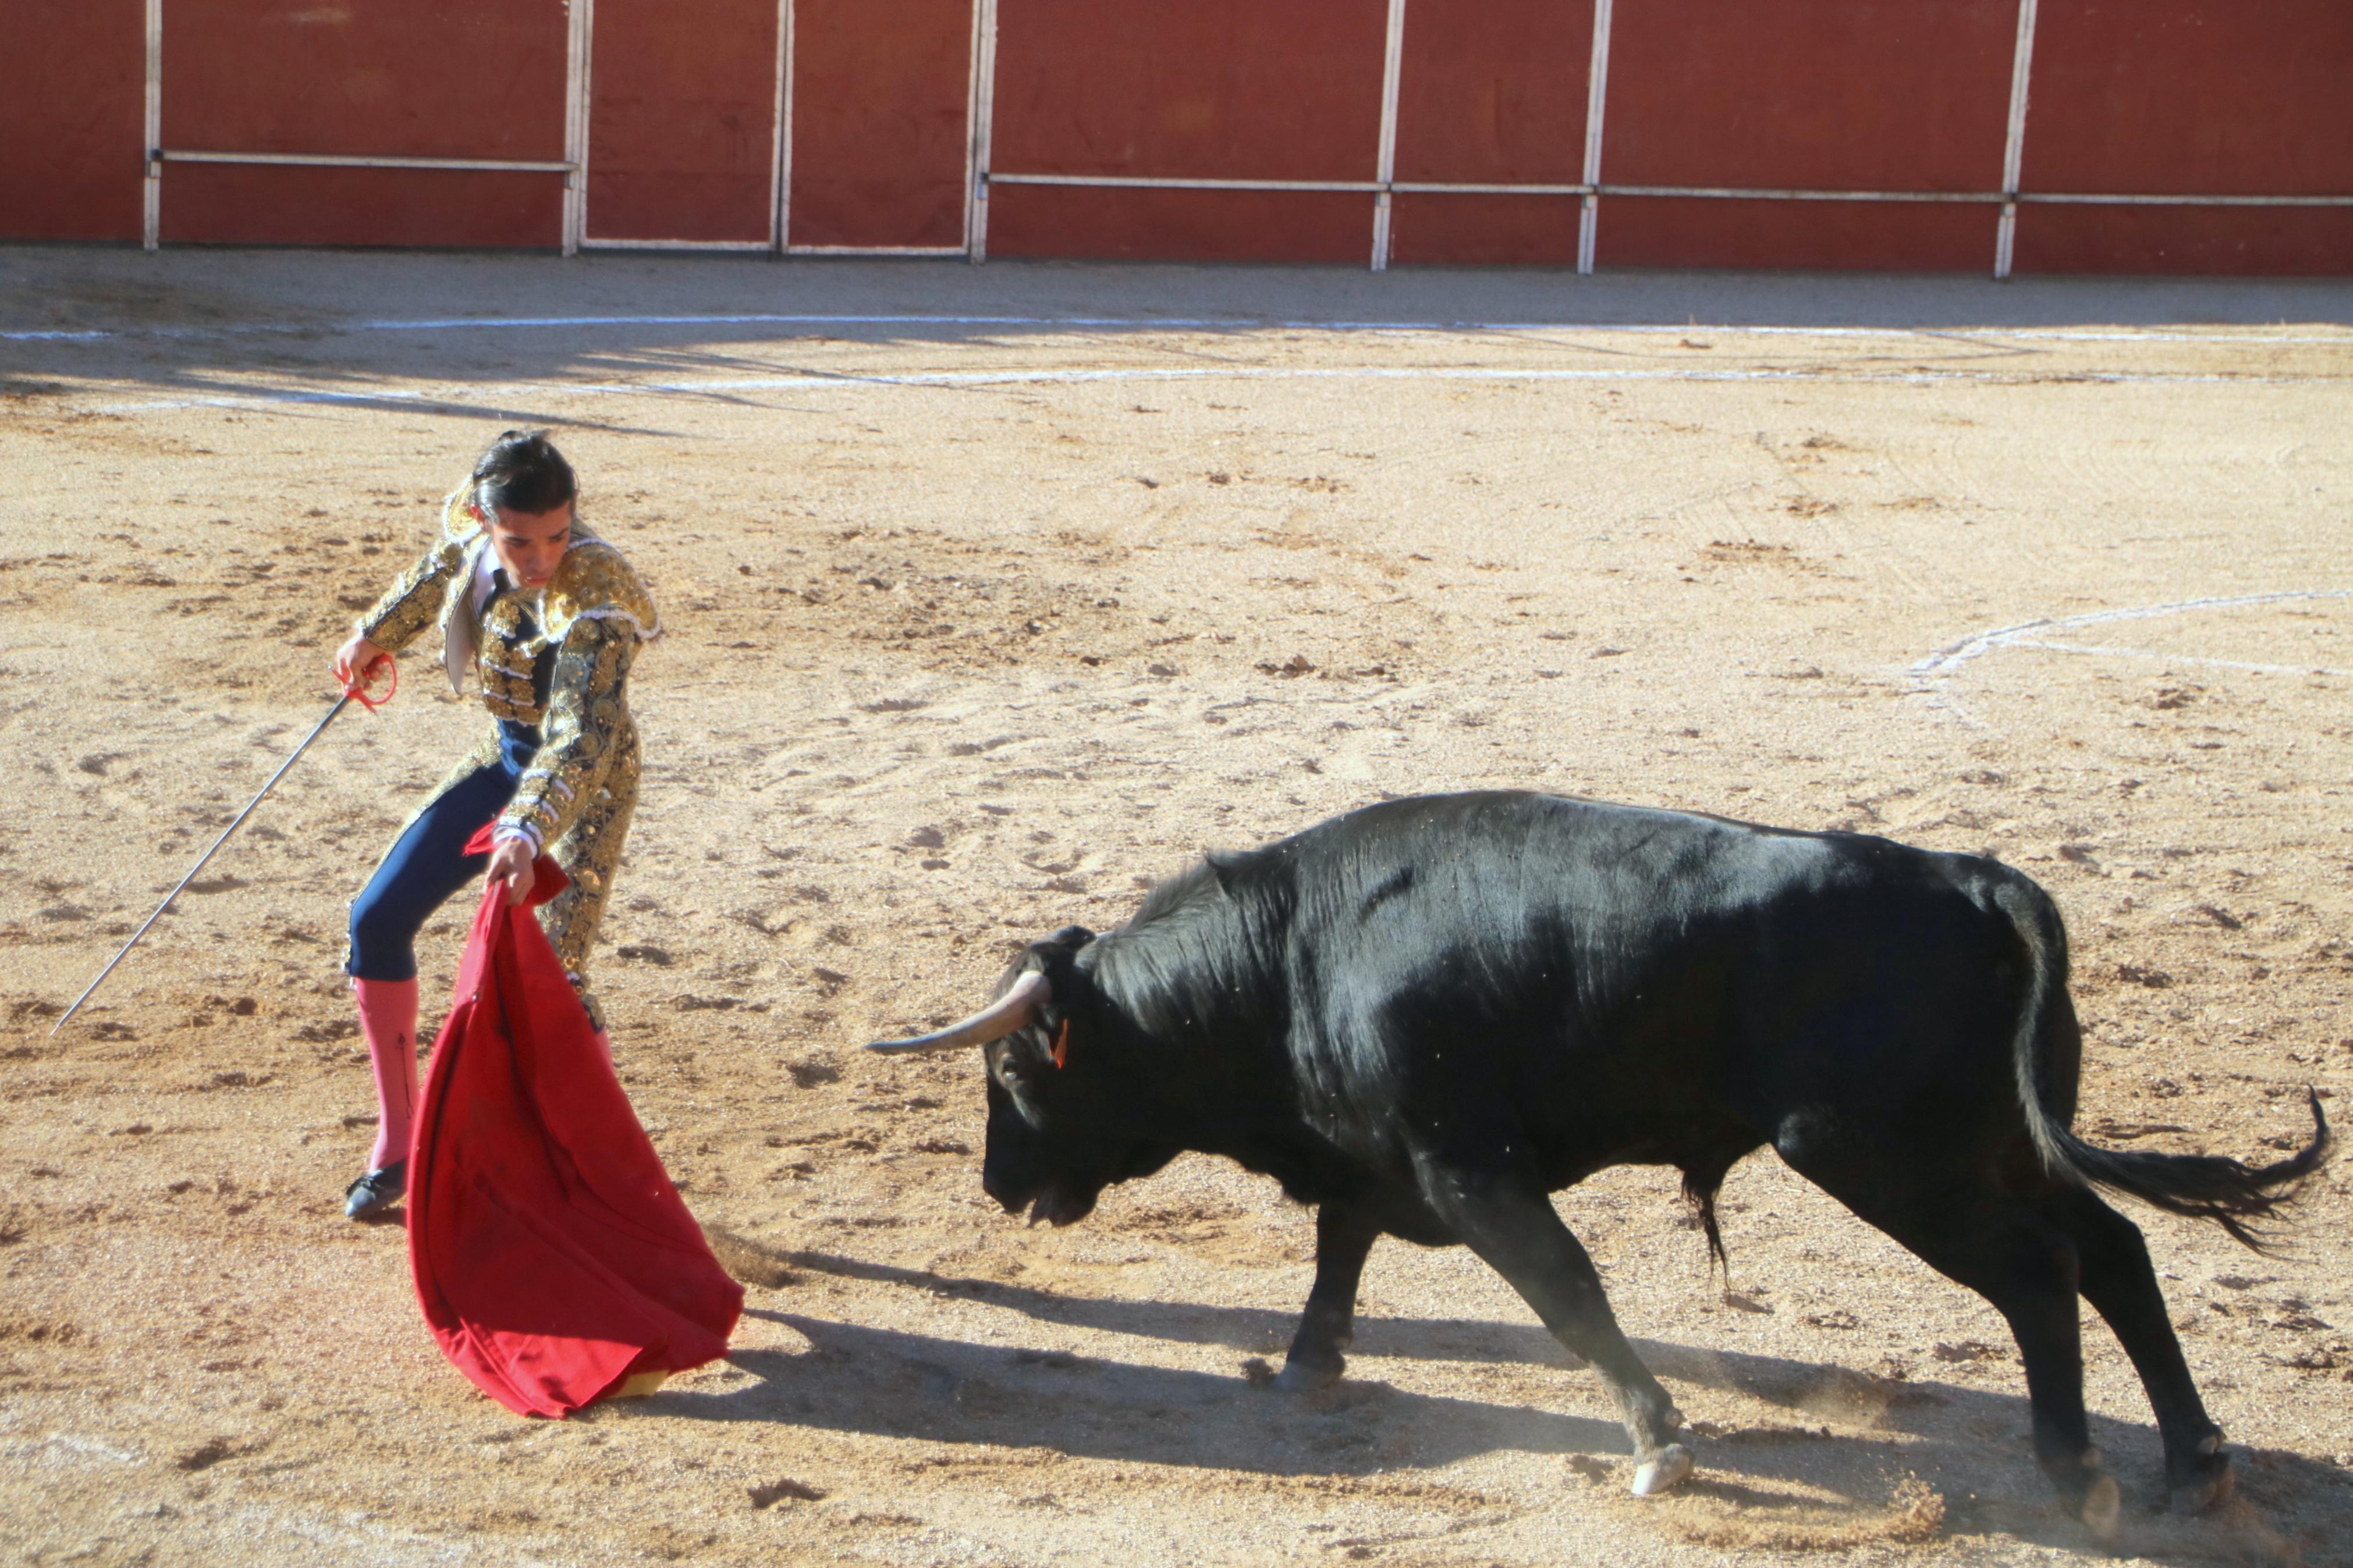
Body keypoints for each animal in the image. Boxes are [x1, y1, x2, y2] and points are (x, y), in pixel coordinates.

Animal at [865, 790, 2315, 1523]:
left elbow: (1564, 1293)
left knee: (2035, 1274)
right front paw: (1303, 1363)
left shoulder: (1467, 1165)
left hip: (1879, 1154)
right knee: (2112, 1249)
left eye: (1011, 1073)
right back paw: (2192, 1461)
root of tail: (1969, 877)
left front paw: (1656, 1439)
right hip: (1991, 1139)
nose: (997, 1184)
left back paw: (2075, 1474)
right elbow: (1340, 1245)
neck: (1289, 950)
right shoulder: (1384, 1155)